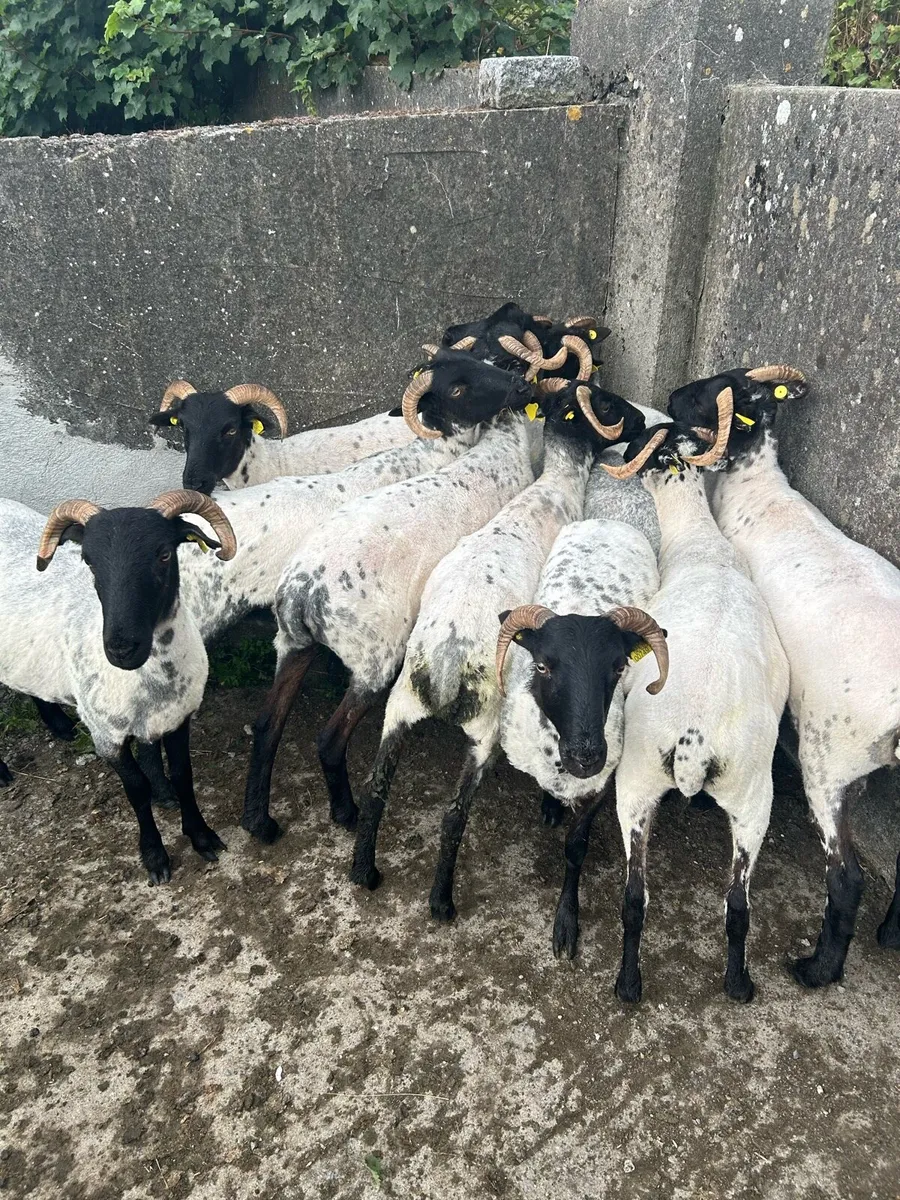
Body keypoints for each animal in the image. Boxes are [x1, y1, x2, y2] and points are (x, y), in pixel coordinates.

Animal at [0, 490, 236, 884]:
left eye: (164, 554)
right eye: (89, 560)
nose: (121, 648)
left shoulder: (178, 717)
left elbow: (183, 776)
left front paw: (201, 835)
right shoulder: (106, 736)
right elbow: (136, 790)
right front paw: (155, 856)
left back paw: (60, 725)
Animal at [241, 398, 541, 852]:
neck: (496, 444)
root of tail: (305, 593)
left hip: (293, 644)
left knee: (266, 724)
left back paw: (260, 821)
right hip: (374, 658)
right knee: (330, 740)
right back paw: (346, 813)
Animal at [345, 382, 649, 918]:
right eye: (609, 404)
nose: (646, 422)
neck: (557, 483)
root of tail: (445, 661)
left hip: (398, 705)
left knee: (376, 786)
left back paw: (364, 870)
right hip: (483, 731)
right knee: (453, 815)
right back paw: (441, 901)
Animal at [600, 391, 790, 1003]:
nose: (617, 447)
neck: (702, 546)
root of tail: (694, 740)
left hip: (640, 782)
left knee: (638, 897)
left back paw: (631, 984)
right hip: (748, 800)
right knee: (733, 906)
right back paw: (733, 984)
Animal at [668, 364, 900, 987]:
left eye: (714, 393)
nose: (671, 397)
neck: (758, 490)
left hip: (828, 757)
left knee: (846, 879)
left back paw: (818, 968)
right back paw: (891, 935)